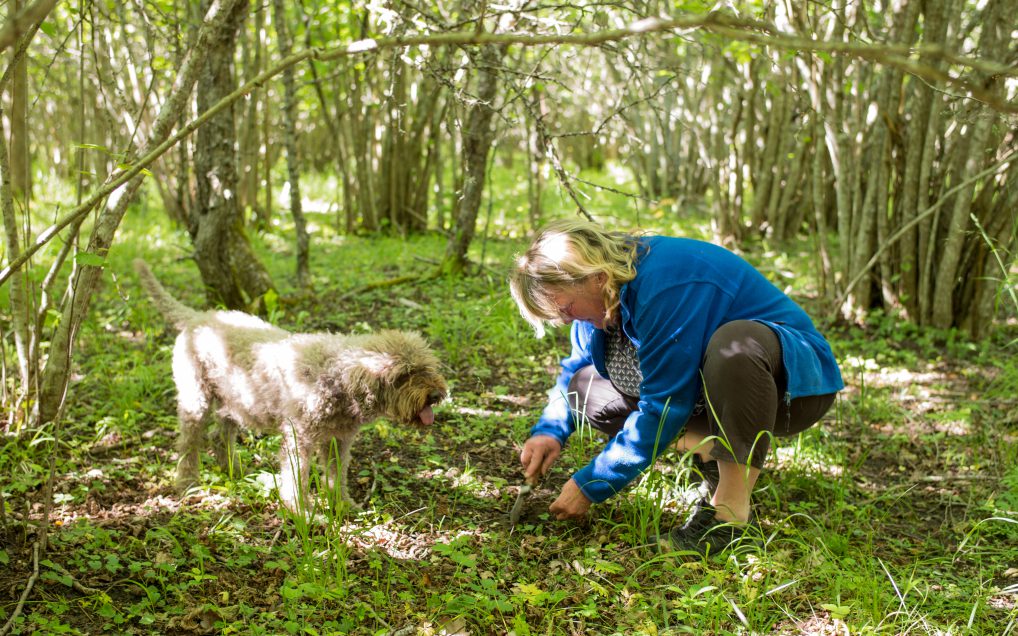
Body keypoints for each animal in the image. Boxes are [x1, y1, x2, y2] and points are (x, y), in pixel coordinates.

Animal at [134, 258, 445, 510]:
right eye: (403, 376)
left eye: (427, 368)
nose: (436, 394)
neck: (335, 379)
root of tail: (198, 317)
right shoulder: (300, 439)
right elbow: (297, 477)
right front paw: (301, 512)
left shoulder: (339, 441)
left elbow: (337, 475)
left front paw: (342, 505)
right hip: (195, 399)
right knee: (189, 442)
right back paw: (187, 482)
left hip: (234, 401)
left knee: (220, 436)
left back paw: (234, 471)